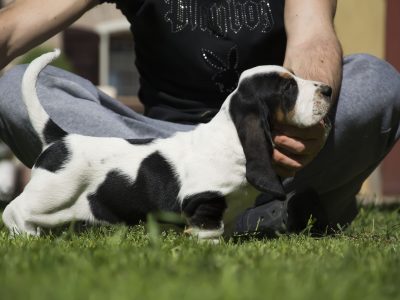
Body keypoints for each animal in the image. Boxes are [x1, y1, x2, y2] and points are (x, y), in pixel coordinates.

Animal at [3, 50, 332, 240]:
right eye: (288, 88)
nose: (328, 89)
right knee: (13, 210)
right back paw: (28, 238)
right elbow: (209, 233)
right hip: (50, 196)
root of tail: (60, 139)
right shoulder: (202, 203)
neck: (232, 140)